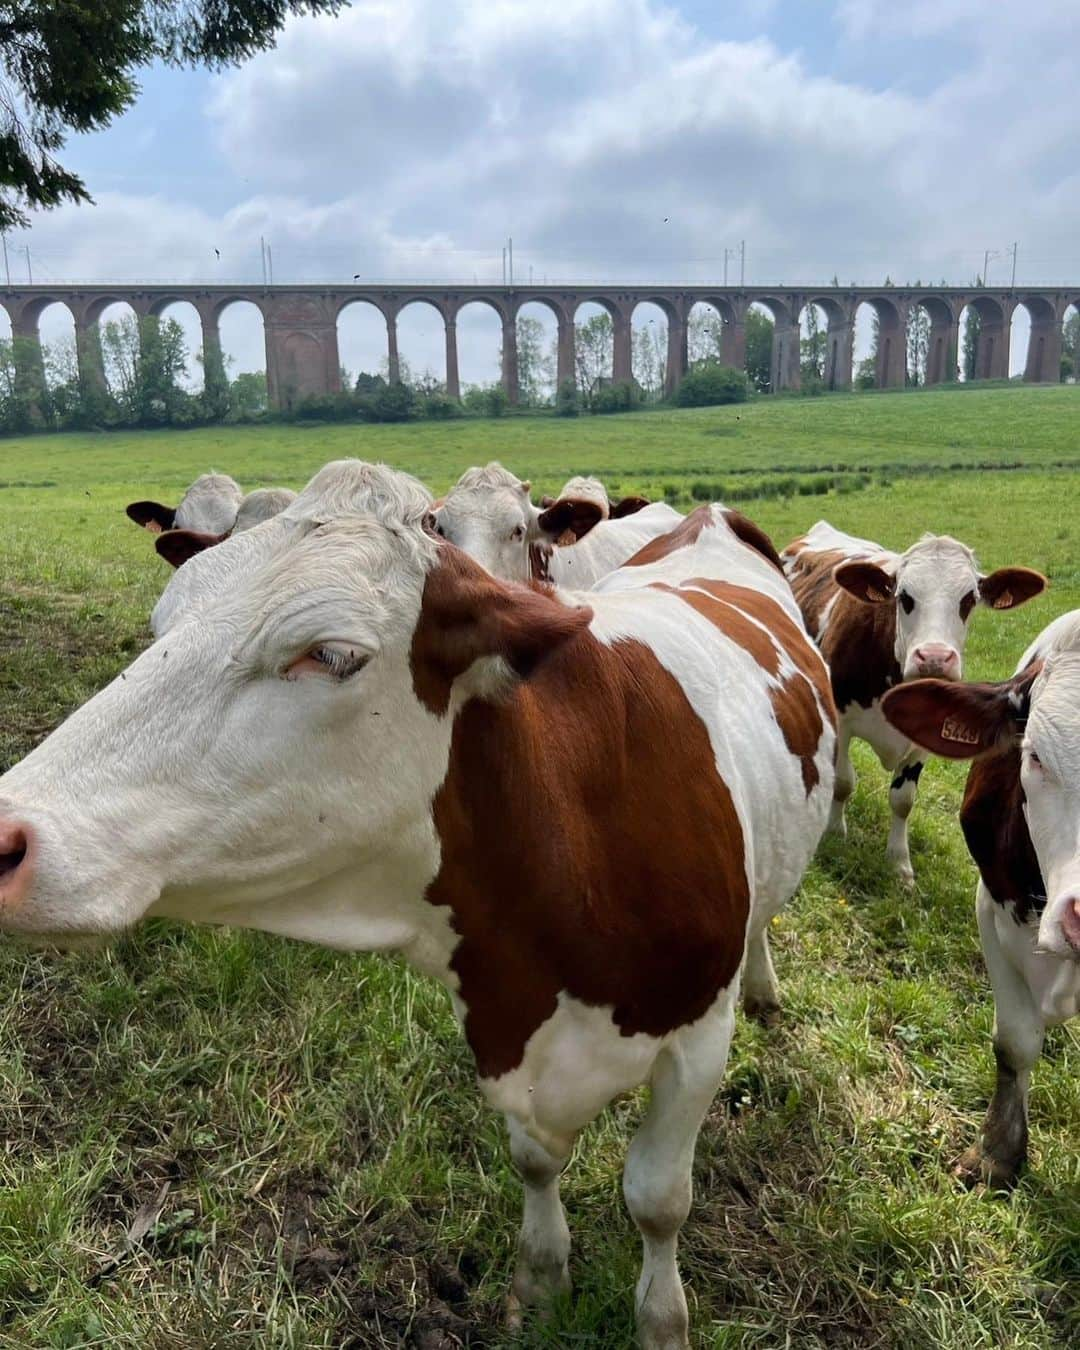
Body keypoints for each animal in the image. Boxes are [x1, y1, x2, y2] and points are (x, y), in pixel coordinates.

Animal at [783, 518, 1047, 885]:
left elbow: (903, 800)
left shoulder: (925, 735)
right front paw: (835, 831)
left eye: (969, 599)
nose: (934, 657)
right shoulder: (840, 721)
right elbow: (843, 781)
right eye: (904, 597)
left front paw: (899, 863)